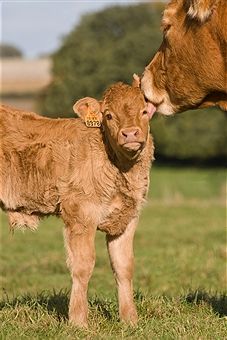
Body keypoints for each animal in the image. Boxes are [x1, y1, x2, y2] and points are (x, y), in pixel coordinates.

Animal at [0, 81, 155, 326]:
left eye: (144, 111)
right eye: (108, 115)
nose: (130, 133)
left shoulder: (128, 217)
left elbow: (124, 266)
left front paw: (130, 320)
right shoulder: (80, 214)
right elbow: (83, 266)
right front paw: (79, 321)